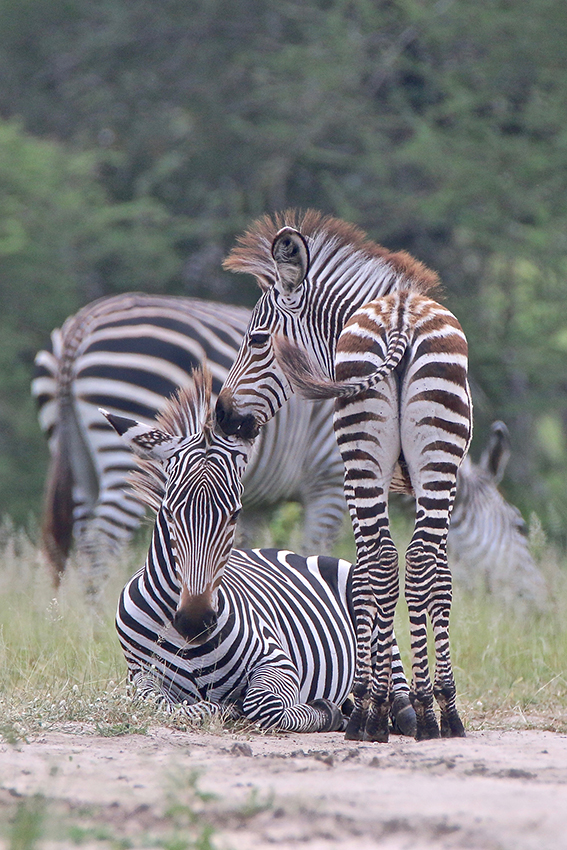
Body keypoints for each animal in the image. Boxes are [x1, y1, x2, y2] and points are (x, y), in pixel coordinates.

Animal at [33, 292, 346, 588]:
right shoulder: (328, 479)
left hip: (76, 457)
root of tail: (81, 325)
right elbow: (313, 553)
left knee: (81, 542)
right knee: (101, 543)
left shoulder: (252, 502)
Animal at [103, 368, 418, 732]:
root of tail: (286, 551)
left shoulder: (277, 660)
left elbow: (261, 704)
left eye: (235, 514)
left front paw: (323, 711)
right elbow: (169, 707)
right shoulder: (140, 676)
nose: (195, 621)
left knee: (393, 682)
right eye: (168, 512)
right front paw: (223, 707)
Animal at [215, 212, 472, 744]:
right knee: (401, 562)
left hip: (374, 459)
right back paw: (418, 716)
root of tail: (400, 315)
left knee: (388, 562)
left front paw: (399, 703)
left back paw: (385, 716)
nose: (222, 415)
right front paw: (423, 705)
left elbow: (396, 576)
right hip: (406, 458)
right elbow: (429, 576)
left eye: (256, 339)